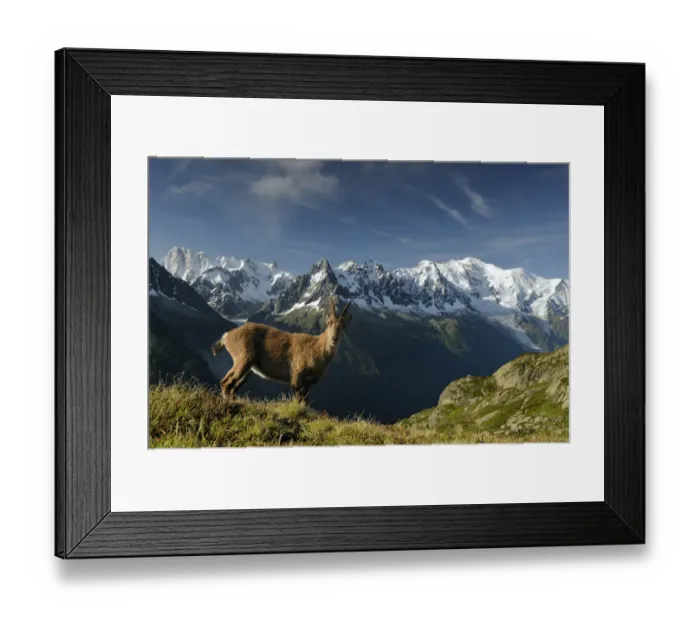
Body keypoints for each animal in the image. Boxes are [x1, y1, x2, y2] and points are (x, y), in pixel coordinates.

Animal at [211, 297, 353, 402]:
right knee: (225, 382)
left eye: (343, 325)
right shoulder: (296, 377)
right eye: (329, 323)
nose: (334, 338)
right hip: (244, 359)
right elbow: (299, 401)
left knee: (232, 386)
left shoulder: (307, 384)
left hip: (249, 368)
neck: (317, 349)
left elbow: (305, 402)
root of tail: (227, 336)